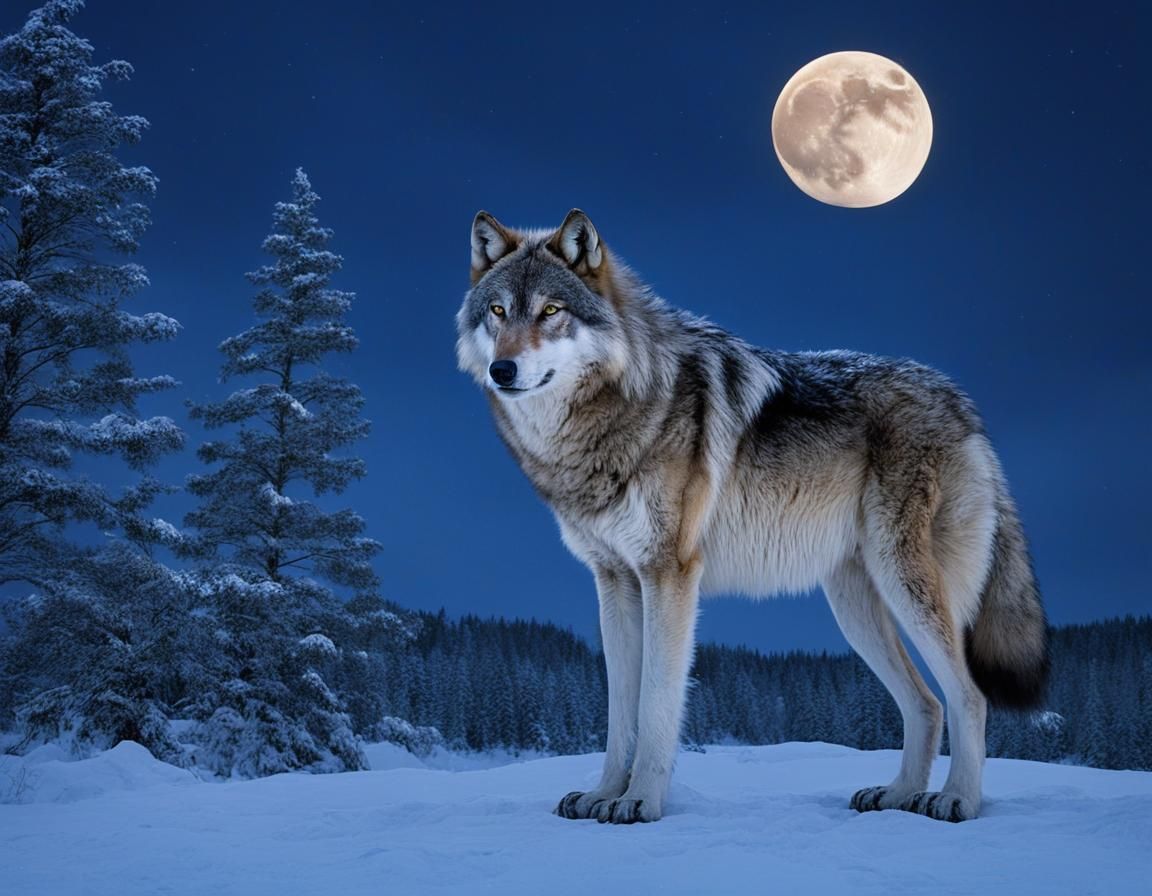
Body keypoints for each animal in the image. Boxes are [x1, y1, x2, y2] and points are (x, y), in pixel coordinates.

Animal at [456, 208, 1048, 824]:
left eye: (551, 311)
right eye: (498, 311)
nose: (502, 369)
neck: (615, 412)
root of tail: (962, 403)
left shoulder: (669, 575)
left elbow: (656, 705)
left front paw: (640, 800)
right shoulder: (614, 579)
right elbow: (620, 711)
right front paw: (603, 794)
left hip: (905, 584)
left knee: (969, 695)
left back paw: (957, 798)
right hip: (855, 605)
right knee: (926, 703)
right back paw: (897, 794)